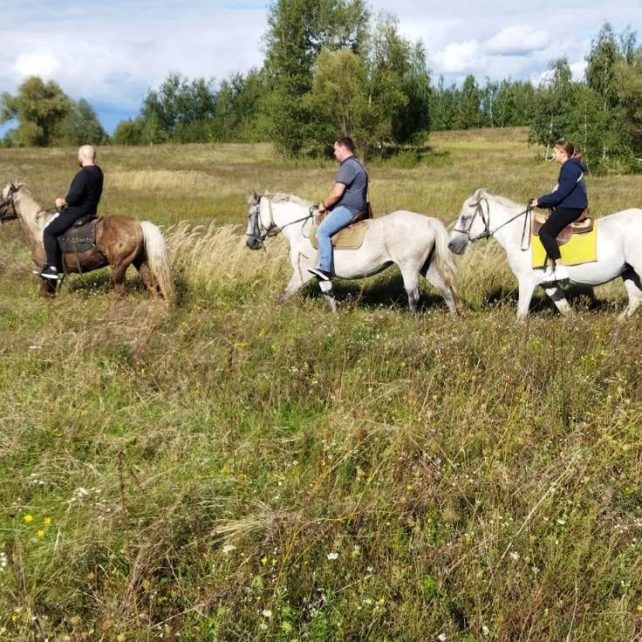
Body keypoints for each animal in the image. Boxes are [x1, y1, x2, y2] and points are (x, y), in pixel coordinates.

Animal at [0, 181, 174, 298]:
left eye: (2, 196)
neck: (38, 230)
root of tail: (138, 224)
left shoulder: (45, 273)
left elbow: (44, 295)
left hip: (119, 266)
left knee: (121, 291)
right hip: (139, 260)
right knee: (151, 284)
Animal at [242, 190, 458, 312]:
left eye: (251, 215)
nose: (250, 243)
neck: (300, 229)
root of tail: (428, 221)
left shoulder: (302, 273)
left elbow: (284, 295)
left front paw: (272, 314)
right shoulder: (320, 275)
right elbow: (329, 296)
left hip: (410, 267)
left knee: (414, 296)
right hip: (426, 266)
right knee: (446, 290)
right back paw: (454, 319)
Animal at [448, 189, 642, 318]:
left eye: (464, 217)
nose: (451, 245)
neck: (518, 234)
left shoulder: (526, 281)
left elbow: (521, 315)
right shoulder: (548, 284)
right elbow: (566, 311)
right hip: (628, 272)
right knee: (635, 299)